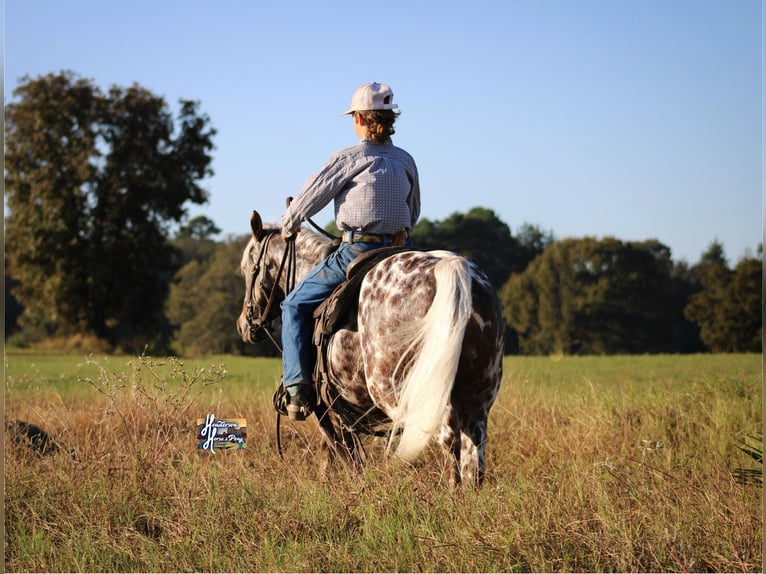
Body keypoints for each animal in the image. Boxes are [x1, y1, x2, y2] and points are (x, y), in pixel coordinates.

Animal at [237, 212, 508, 490]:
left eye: (248, 268)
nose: (244, 325)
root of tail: (452, 268)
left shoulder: (328, 408)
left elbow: (341, 454)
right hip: (478, 396)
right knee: (473, 452)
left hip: (403, 394)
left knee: (448, 440)